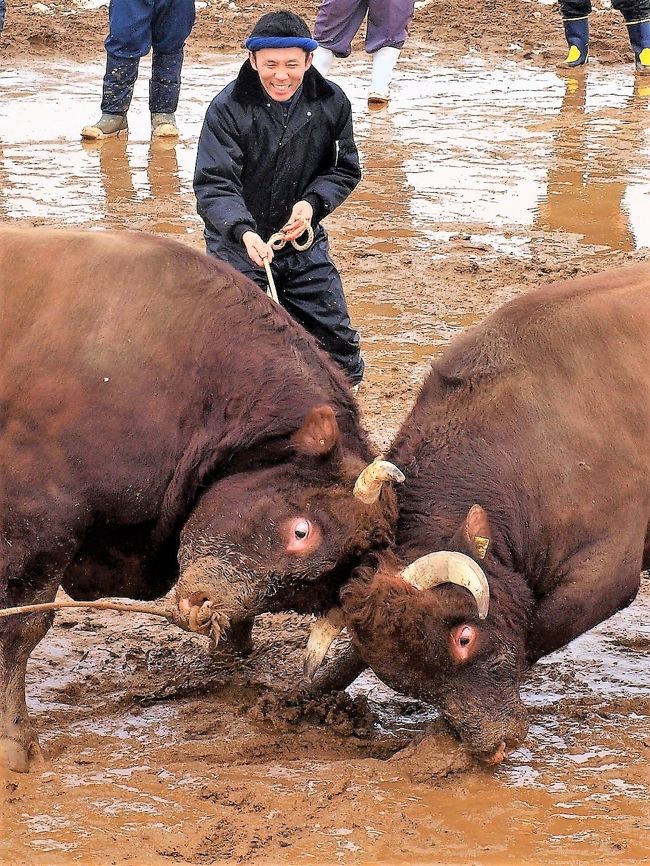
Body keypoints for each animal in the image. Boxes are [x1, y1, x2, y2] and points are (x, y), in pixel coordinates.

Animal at [0, 226, 402, 772]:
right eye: (301, 530)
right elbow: (23, 630)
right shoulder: (40, 530)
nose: (205, 607)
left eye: (316, 591)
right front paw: (15, 743)